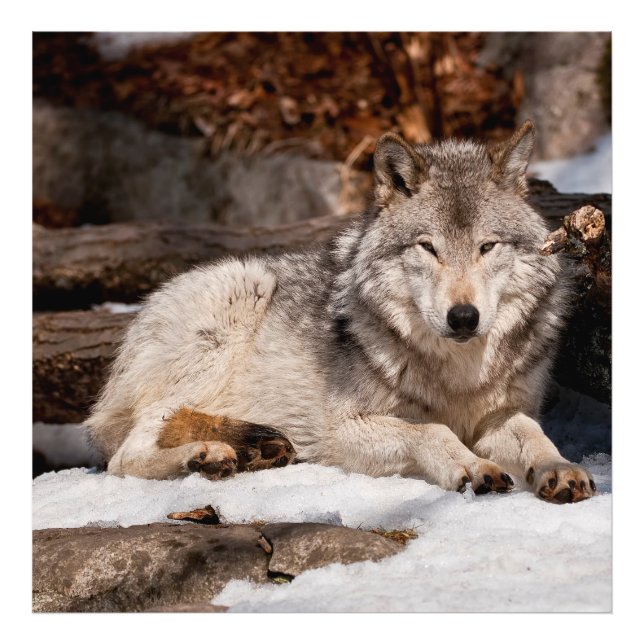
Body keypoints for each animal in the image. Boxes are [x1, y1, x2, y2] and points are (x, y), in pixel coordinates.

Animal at [87, 121, 596, 504]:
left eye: (487, 247)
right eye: (428, 248)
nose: (464, 317)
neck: (458, 376)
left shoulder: (502, 414)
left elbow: (535, 436)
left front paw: (560, 469)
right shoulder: (342, 431)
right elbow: (432, 431)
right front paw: (472, 467)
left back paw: (257, 450)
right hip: (241, 292)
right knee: (124, 456)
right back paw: (208, 454)